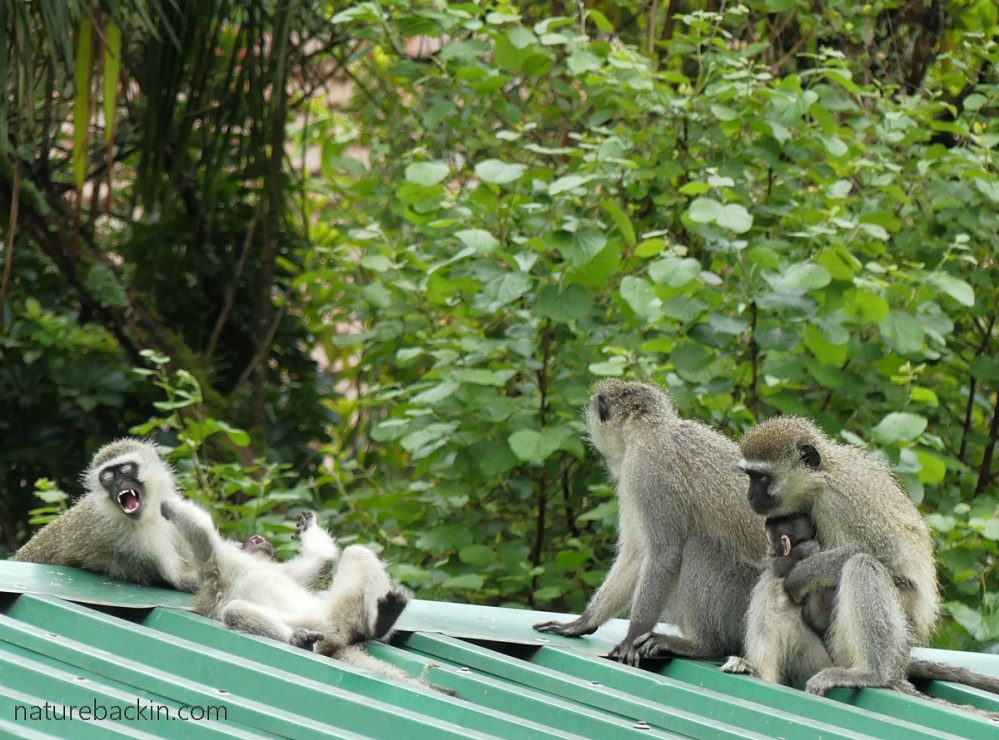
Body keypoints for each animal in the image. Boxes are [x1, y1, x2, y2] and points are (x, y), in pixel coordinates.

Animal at [13, 438, 213, 592]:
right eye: (108, 477)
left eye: (125, 470)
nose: (120, 483)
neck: (148, 516)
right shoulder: (136, 544)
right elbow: (182, 580)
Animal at [533, 379, 766, 665]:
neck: (647, 429)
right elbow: (636, 555)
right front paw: (583, 622)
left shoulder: (646, 471)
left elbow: (663, 553)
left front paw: (632, 637)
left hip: (741, 609)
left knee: (697, 545)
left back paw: (703, 645)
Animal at [722, 415, 999, 701]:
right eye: (750, 476)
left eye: (761, 477)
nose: (749, 496)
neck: (820, 479)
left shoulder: (838, 500)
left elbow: (886, 552)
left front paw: (802, 574)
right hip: (820, 655)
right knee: (774, 580)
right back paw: (756, 669)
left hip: (874, 645)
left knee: (862, 564)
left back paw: (871, 674)